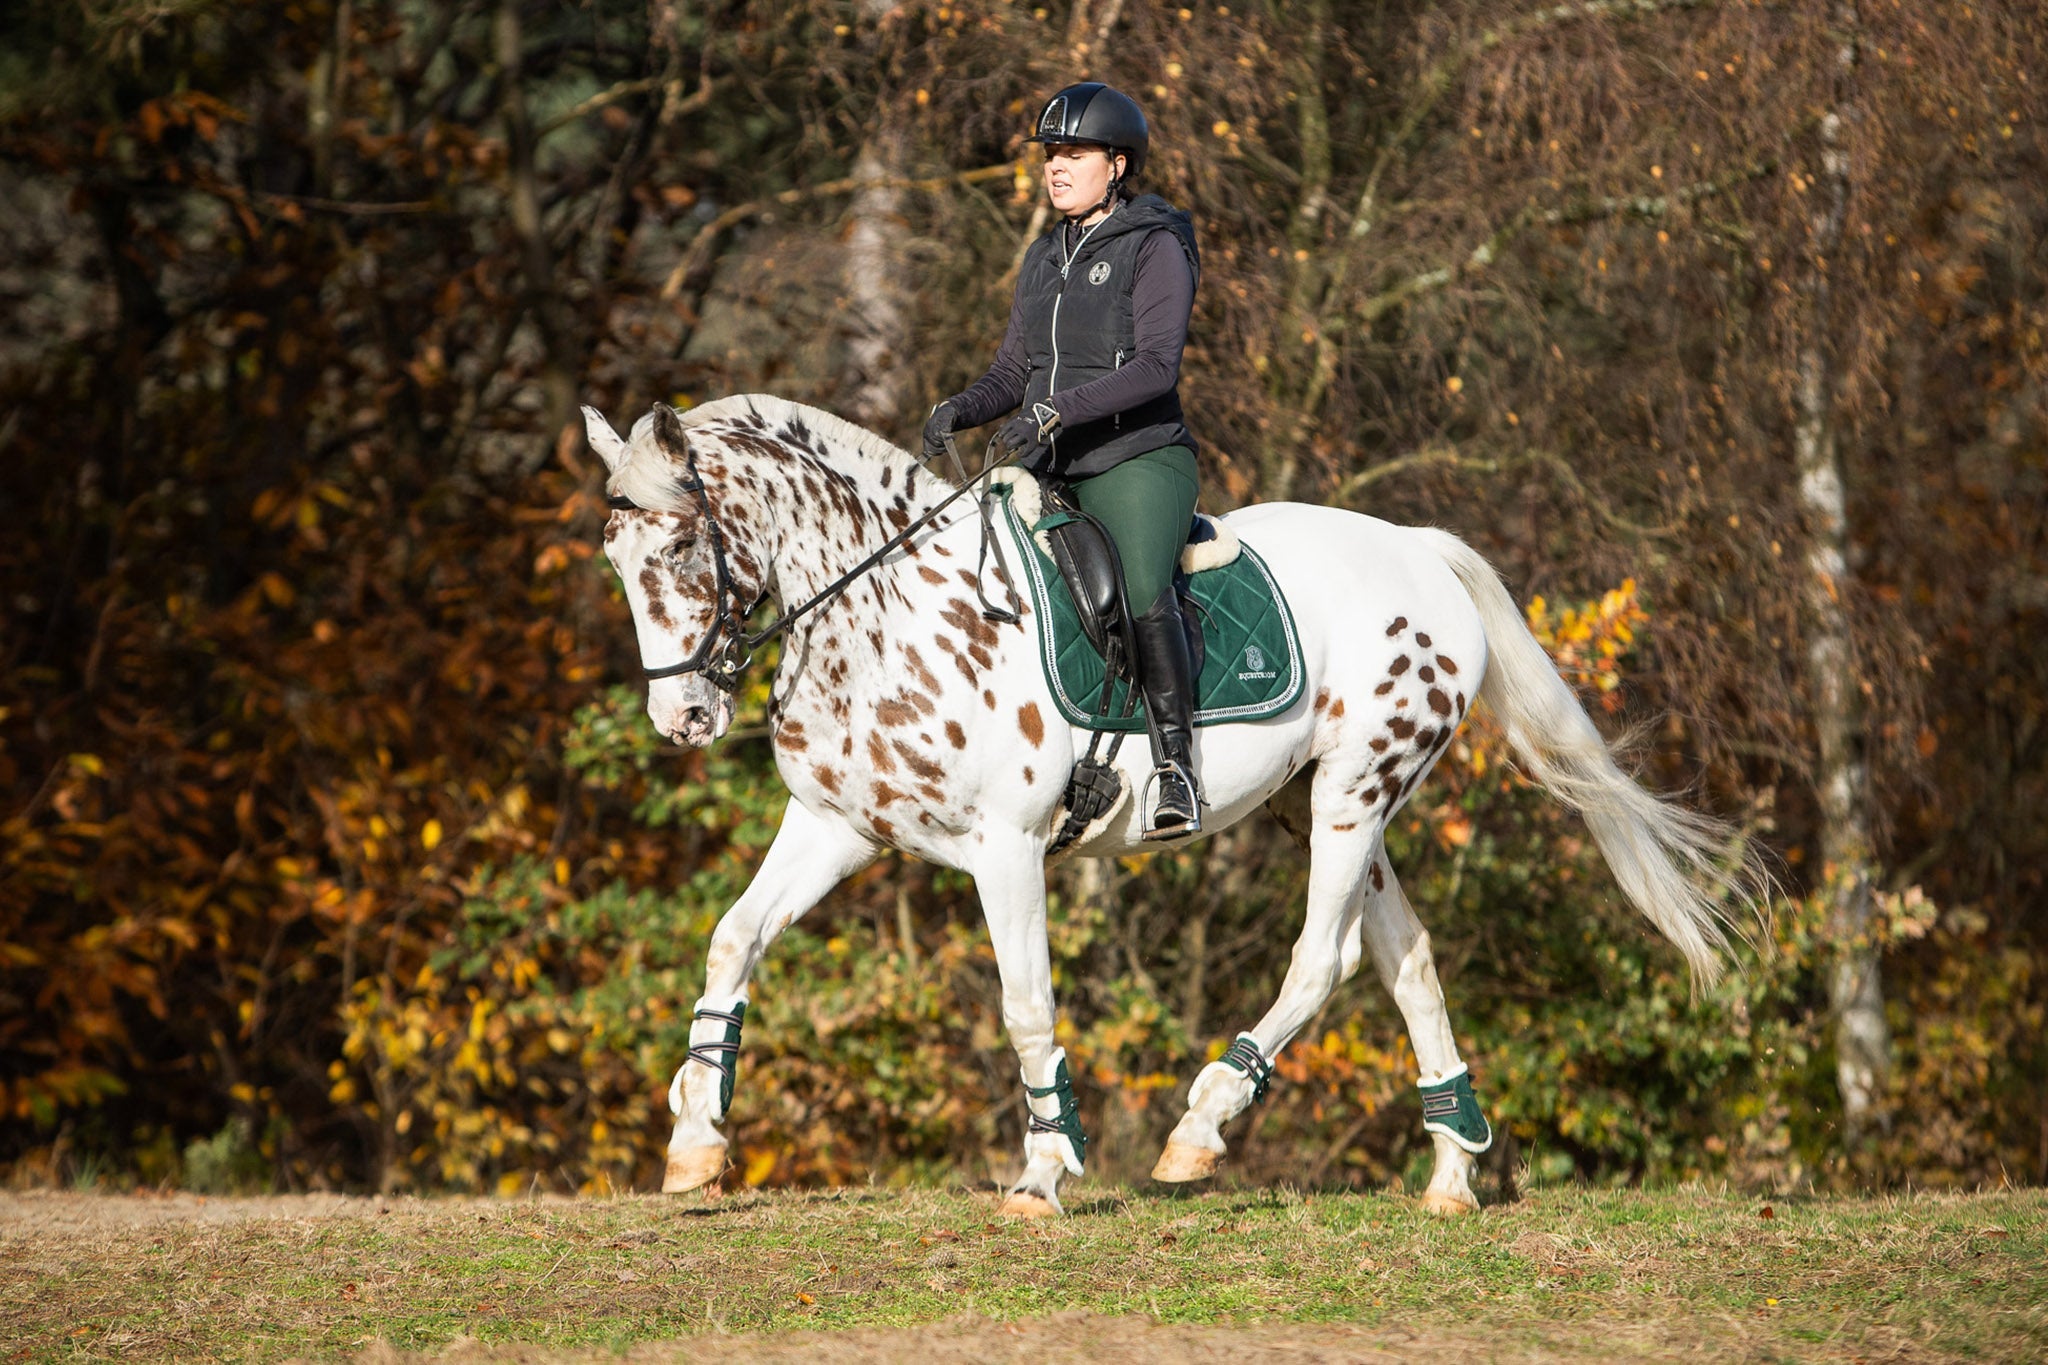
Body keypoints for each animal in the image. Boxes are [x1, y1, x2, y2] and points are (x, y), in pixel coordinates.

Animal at [582, 394, 1755, 1217]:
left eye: (680, 547)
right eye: (614, 556)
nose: (683, 717)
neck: (891, 611)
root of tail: (1419, 550)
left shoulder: (1006, 851)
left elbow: (1025, 1005)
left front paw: (1043, 1172)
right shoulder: (834, 830)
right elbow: (731, 942)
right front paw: (696, 1141)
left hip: (1353, 793)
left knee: (1321, 959)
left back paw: (1203, 1126)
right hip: (1326, 804)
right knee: (1404, 957)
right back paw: (1451, 1173)